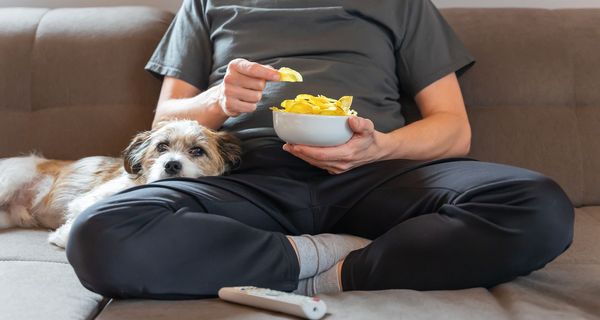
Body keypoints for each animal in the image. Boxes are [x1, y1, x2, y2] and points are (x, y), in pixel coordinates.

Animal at [0, 120, 240, 248]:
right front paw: (61, 236)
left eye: (198, 151)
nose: (171, 164)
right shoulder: (87, 200)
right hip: (10, 181)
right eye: (162, 147)